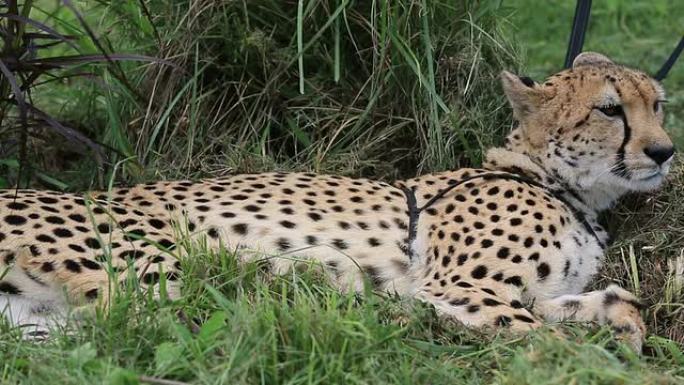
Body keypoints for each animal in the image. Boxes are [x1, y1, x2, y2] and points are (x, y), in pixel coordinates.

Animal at [0, 52, 672, 350]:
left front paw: (624, 330)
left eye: (658, 104)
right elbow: (547, 339)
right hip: (161, 266)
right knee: (194, 324)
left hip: (42, 325)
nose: (665, 151)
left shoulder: (527, 294)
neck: (555, 182)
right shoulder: (464, 288)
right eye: (611, 109)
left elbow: (613, 302)